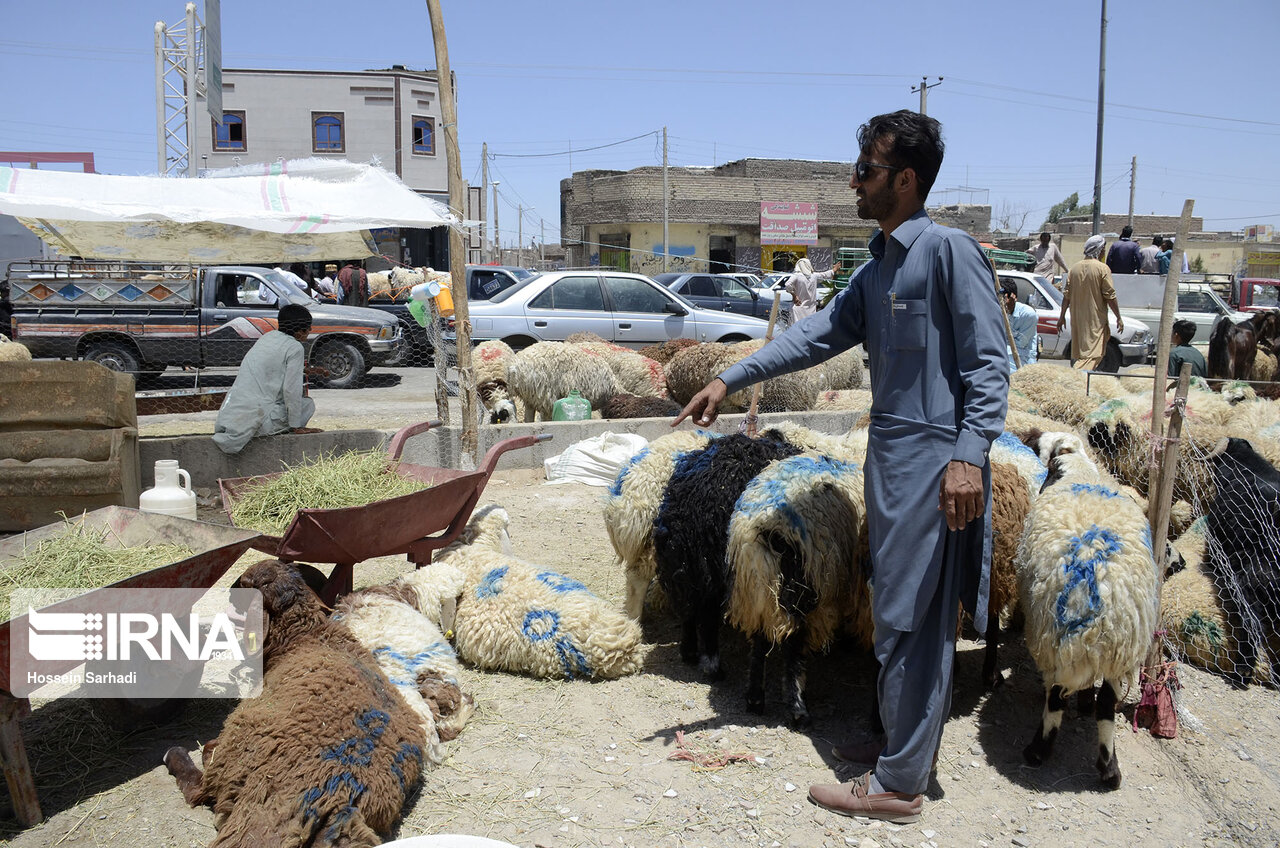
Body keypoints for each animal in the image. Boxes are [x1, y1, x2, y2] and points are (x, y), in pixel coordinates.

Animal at [162, 561, 435, 845]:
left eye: (246, 583)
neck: (303, 636)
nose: (228, 593)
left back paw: (176, 754)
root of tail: (337, 790)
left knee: (199, 787)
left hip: (240, 766)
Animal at [1018, 435, 1162, 794]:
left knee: (1056, 698)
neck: (1079, 470)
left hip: (1056, 637)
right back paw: (1109, 769)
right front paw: (1084, 701)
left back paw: (1038, 751)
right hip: (1115, 646)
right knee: (1107, 705)